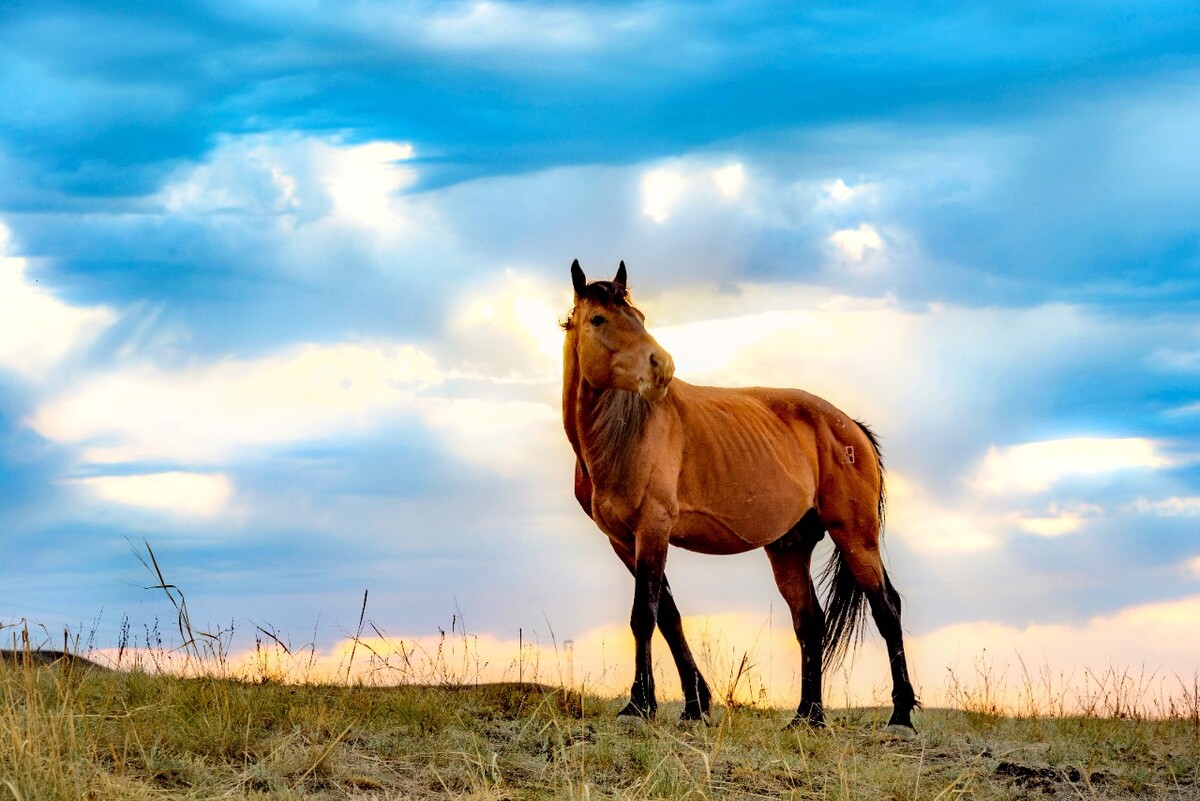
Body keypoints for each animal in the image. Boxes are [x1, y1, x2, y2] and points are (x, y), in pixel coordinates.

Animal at [561, 260, 916, 729]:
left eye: (639, 317)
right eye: (598, 319)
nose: (662, 368)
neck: (621, 435)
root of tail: (849, 426)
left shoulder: (652, 528)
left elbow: (644, 615)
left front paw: (639, 705)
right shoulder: (623, 540)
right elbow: (668, 615)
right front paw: (694, 705)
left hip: (856, 536)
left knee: (887, 609)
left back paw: (900, 716)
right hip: (789, 547)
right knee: (810, 622)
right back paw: (808, 716)